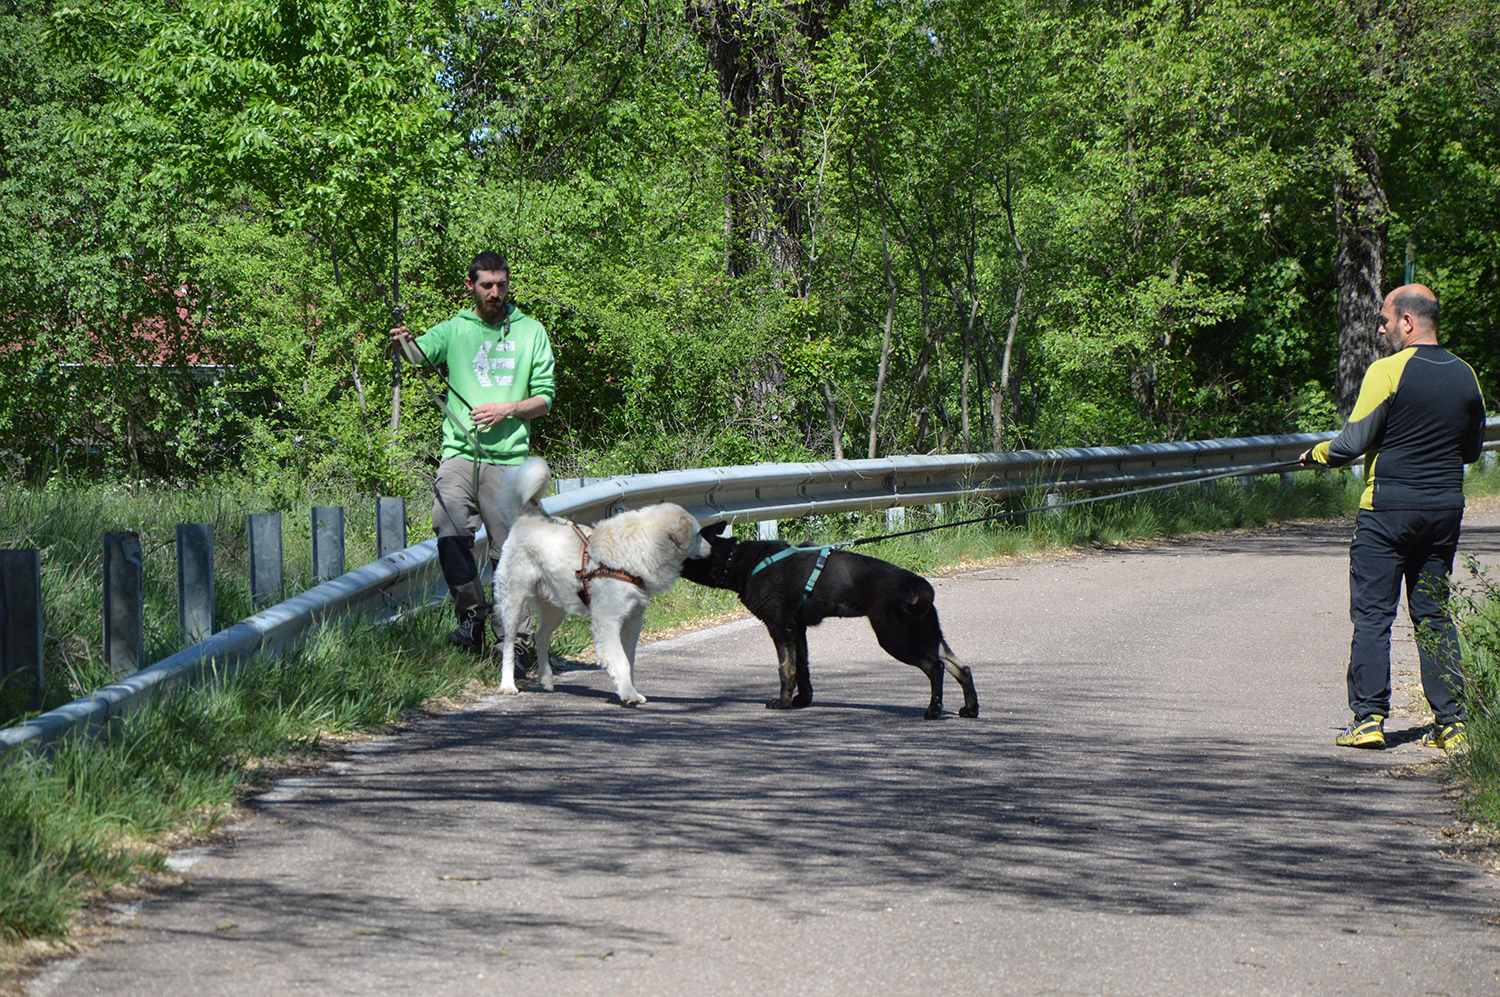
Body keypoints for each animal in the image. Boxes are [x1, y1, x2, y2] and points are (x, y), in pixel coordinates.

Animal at [490, 457, 711, 706]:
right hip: (514, 602)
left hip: (555, 608)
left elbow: (630, 661)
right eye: (698, 534)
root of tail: (525, 518)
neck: (641, 548)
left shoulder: (633, 622)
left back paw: (546, 679)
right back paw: (507, 685)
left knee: (540, 637)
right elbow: (621, 661)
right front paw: (629, 695)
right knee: (509, 644)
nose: (711, 549)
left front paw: (630, 690)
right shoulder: (609, 621)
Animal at [679, 525, 979, 719]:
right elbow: (802, 668)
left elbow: (785, 669)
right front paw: (803, 701)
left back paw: (933, 710)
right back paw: (971, 709)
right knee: (961, 667)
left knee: (936, 666)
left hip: (895, 637)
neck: (737, 560)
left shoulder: (779, 626)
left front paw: (783, 703)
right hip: (925, 634)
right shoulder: (797, 629)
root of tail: (923, 586)